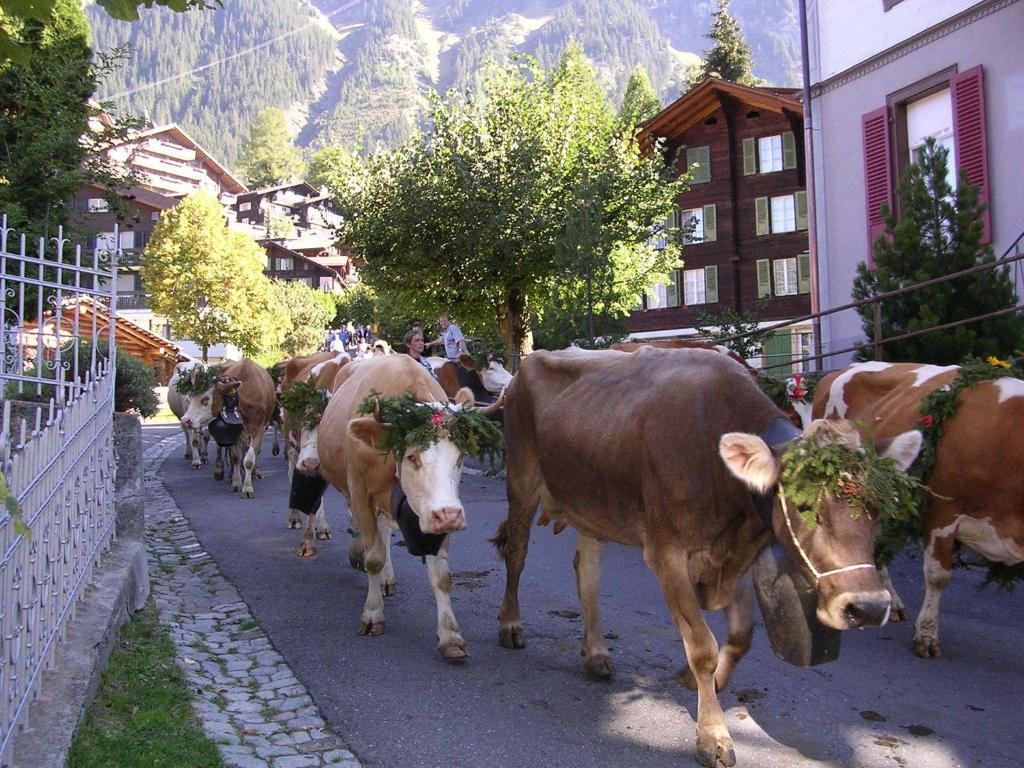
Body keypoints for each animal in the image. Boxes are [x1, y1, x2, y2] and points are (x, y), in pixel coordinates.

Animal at [179, 360, 276, 499]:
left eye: (205, 399)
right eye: (189, 399)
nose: (185, 420)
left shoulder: (258, 428)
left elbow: (249, 459)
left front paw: (247, 487)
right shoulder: (234, 431)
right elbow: (235, 457)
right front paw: (236, 482)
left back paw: (255, 473)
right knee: (221, 448)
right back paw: (220, 471)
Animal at [317, 356, 477, 663]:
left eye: (460, 457)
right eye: (412, 456)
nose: (449, 516)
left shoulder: (439, 507)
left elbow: (441, 575)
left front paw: (450, 636)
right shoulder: (361, 494)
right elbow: (374, 558)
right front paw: (372, 615)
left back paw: (387, 581)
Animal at [493, 350, 921, 768]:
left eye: (879, 509)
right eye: (803, 506)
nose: (868, 607)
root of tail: (527, 365)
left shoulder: (740, 552)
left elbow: (741, 637)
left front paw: (701, 684)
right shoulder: (666, 554)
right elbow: (702, 647)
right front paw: (713, 735)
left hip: (594, 505)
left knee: (588, 575)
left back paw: (596, 653)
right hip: (522, 482)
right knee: (516, 555)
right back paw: (510, 625)